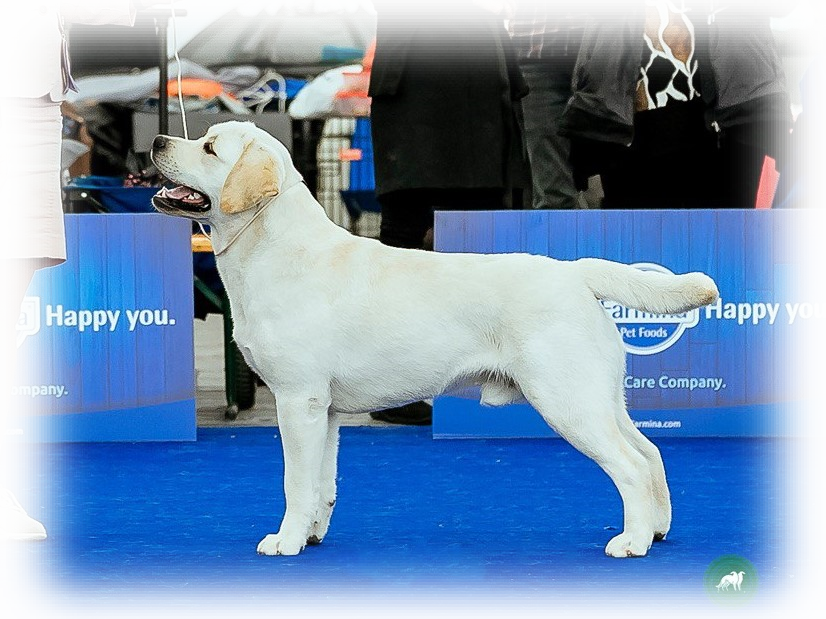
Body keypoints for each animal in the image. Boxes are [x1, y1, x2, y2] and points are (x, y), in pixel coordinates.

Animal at [151, 122, 716, 560]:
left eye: (209, 147)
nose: (157, 140)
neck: (273, 250)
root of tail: (575, 272)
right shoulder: (325, 411)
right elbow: (322, 484)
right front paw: (311, 536)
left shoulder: (297, 400)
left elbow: (296, 482)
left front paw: (285, 542)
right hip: (599, 396)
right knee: (650, 453)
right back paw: (658, 531)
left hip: (567, 400)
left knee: (630, 466)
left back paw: (632, 542)